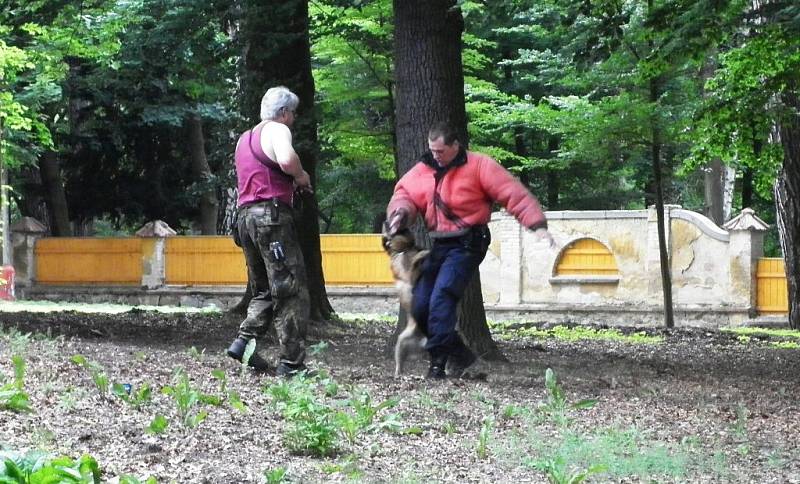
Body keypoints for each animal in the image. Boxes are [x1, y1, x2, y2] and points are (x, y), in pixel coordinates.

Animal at [382, 224, 432, 378]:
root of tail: (423, 340)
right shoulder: (410, 274)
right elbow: (416, 262)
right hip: (403, 341)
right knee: (400, 360)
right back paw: (398, 372)